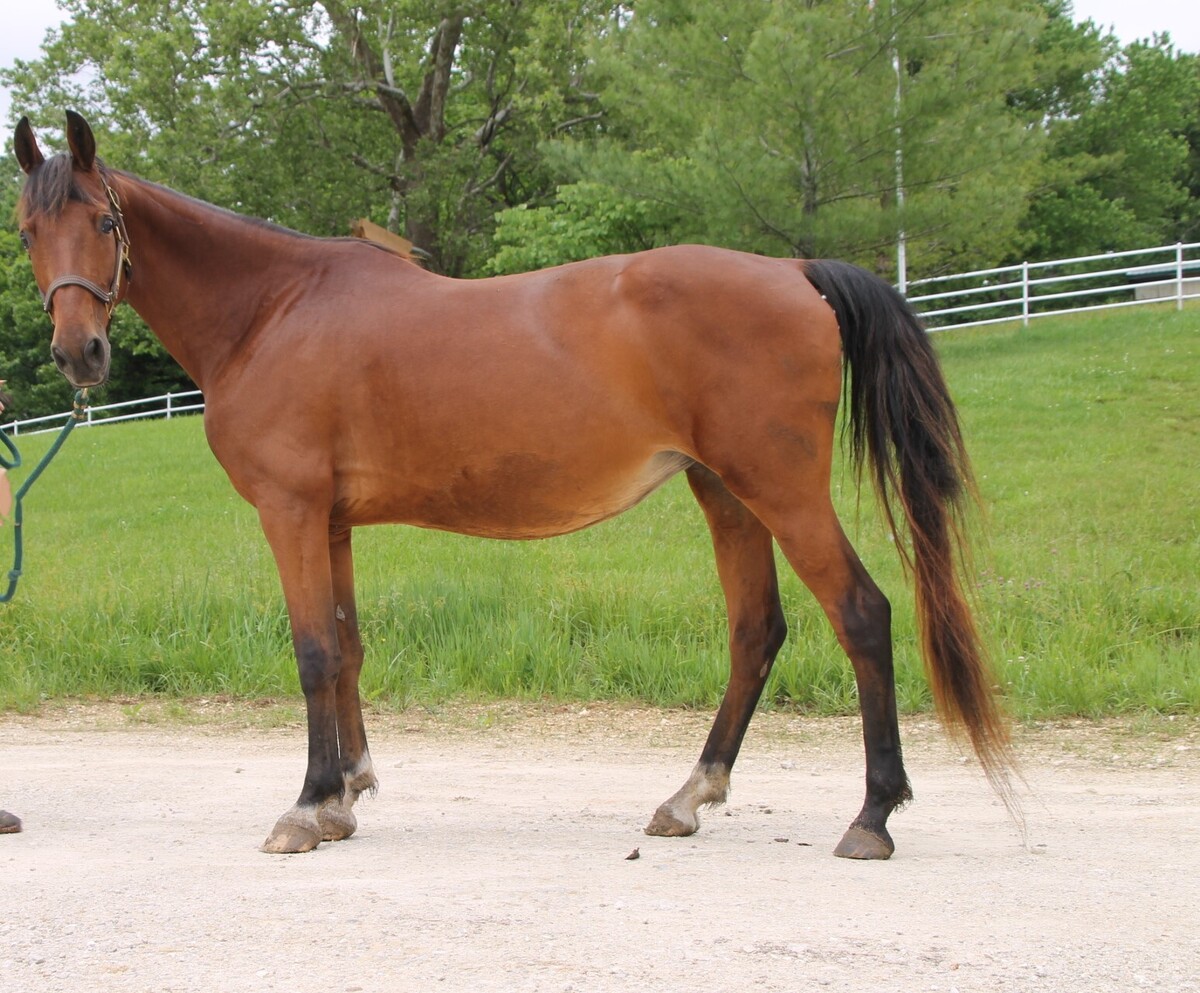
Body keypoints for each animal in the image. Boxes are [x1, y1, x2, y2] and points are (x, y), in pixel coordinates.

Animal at [13, 111, 1014, 857]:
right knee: (756, 631)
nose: (78, 353)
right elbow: (348, 646)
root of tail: (793, 270)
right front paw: (344, 794)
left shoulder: (291, 512)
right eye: (27, 231)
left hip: (782, 491)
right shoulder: (331, 521)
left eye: (104, 224)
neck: (272, 309)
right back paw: (689, 796)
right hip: (726, 493)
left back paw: (872, 815)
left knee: (862, 615)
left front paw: (306, 805)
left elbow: (312, 653)